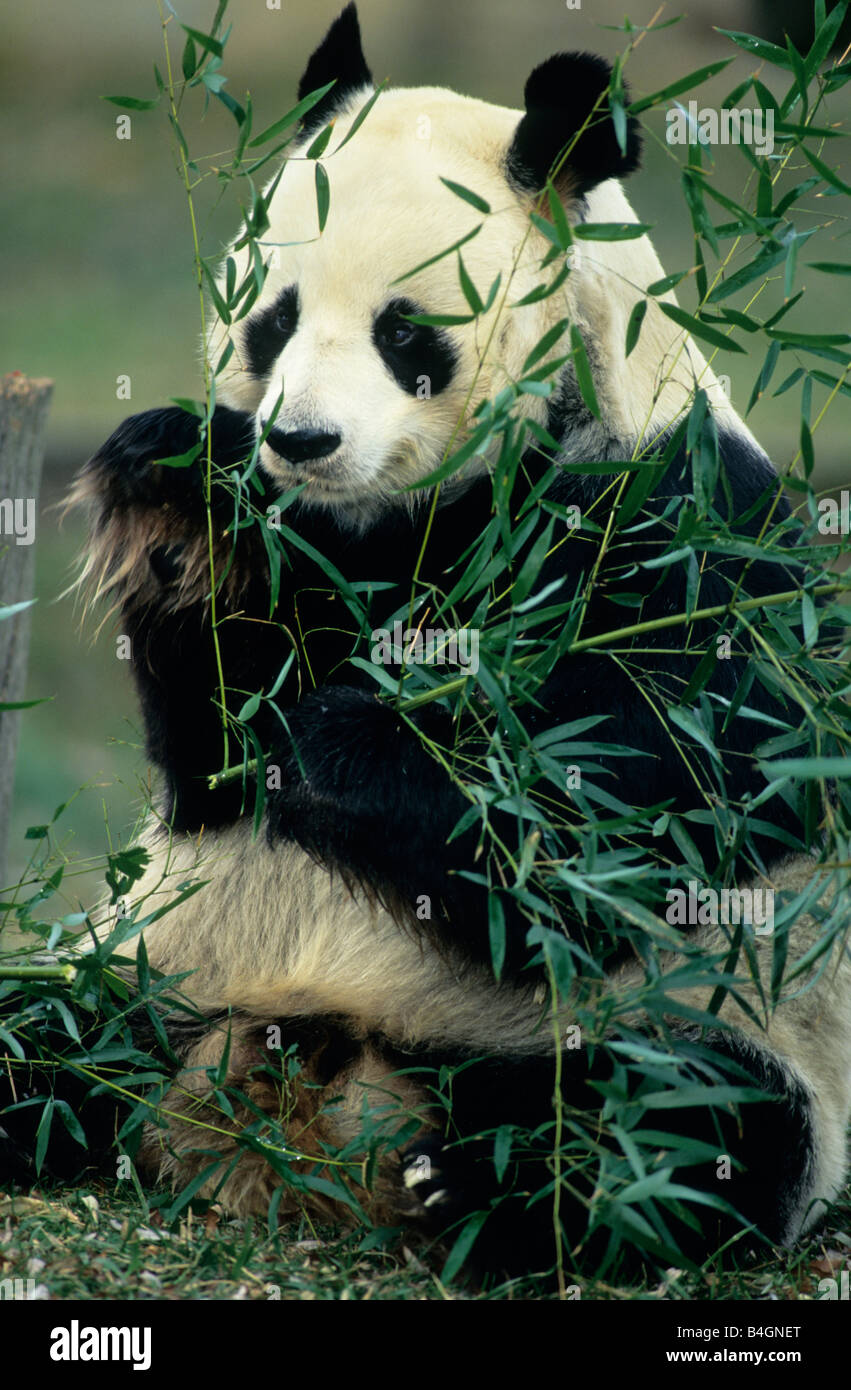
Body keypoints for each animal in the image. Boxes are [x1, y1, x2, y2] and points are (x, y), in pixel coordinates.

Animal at [3, 2, 845, 1278]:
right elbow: (216, 761)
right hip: (143, 957)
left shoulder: (682, 523)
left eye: (406, 332)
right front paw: (173, 495)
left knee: (697, 1124)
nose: (301, 439)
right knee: (40, 1031)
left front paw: (353, 741)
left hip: (711, 1017)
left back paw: (488, 1172)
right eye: (274, 319)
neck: (415, 511)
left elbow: (630, 807)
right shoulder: (311, 555)